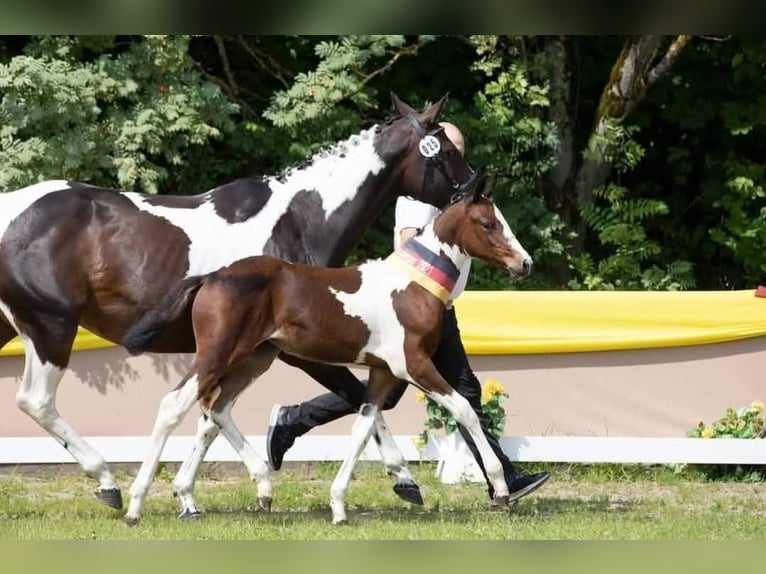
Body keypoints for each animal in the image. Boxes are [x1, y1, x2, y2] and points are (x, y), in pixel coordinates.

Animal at [0, 93, 473, 513]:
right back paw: (107, 482)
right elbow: (361, 399)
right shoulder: (297, 350)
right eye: (448, 151)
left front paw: (190, 494)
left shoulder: (250, 348)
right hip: (51, 327)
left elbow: (212, 416)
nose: (474, 188)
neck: (299, 221)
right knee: (36, 400)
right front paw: (404, 479)